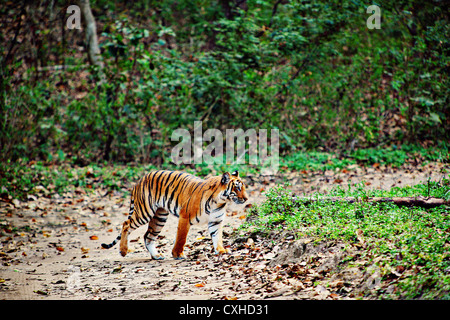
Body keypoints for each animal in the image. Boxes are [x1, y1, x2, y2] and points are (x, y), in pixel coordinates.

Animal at [101, 170, 248, 260]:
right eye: (237, 188)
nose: (246, 199)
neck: (219, 201)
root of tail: (139, 180)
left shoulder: (216, 221)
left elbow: (218, 237)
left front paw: (221, 251)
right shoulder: (185, 217)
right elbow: (181, 238)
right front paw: (178, 254)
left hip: (159, 217)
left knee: (148, 236)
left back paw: (156, 256)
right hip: (144, 211)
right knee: (126, 224)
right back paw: (123, 251)